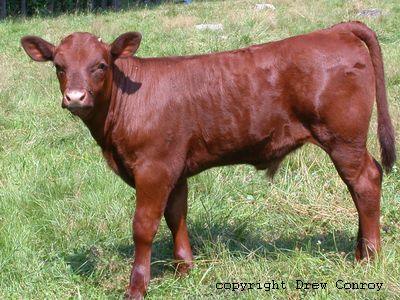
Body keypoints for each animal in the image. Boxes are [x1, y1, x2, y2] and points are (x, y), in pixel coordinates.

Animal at [21, 22, 396, 298]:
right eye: (59, 67)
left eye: (100, 65)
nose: (75, 97)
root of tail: (334, 30)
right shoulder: (174, 168)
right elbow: (176, 215)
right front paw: (184, 268)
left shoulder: (153, 168)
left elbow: (143, 226)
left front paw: (137, 287)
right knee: (362, 185)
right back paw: (360, 250)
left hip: (342, 139)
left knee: (365, 181)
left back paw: (369, 257)